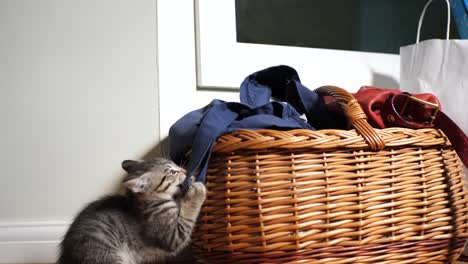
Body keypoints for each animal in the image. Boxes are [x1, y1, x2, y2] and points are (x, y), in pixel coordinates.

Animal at [57, 158, 207, 262]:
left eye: (175, 164)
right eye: (172, 172)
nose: (186, 171)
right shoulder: (172, 237)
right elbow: (187, 216)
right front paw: (196, 190)